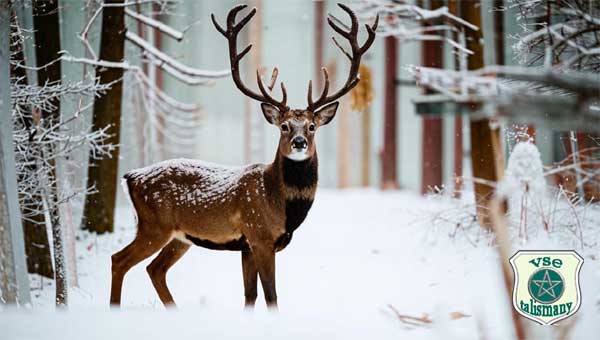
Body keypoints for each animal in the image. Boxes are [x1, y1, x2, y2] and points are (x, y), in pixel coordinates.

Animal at [110, 2, 378, 310]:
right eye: (284, 126)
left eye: (312, 126)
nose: (299, 142)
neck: (280, 205)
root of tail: (130, 177)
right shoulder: (259, 235)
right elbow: (271, 295)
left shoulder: (246, 245)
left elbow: (250, 295)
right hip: (154, 224)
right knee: (119, 260)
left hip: (180, 236)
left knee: (154, 269)